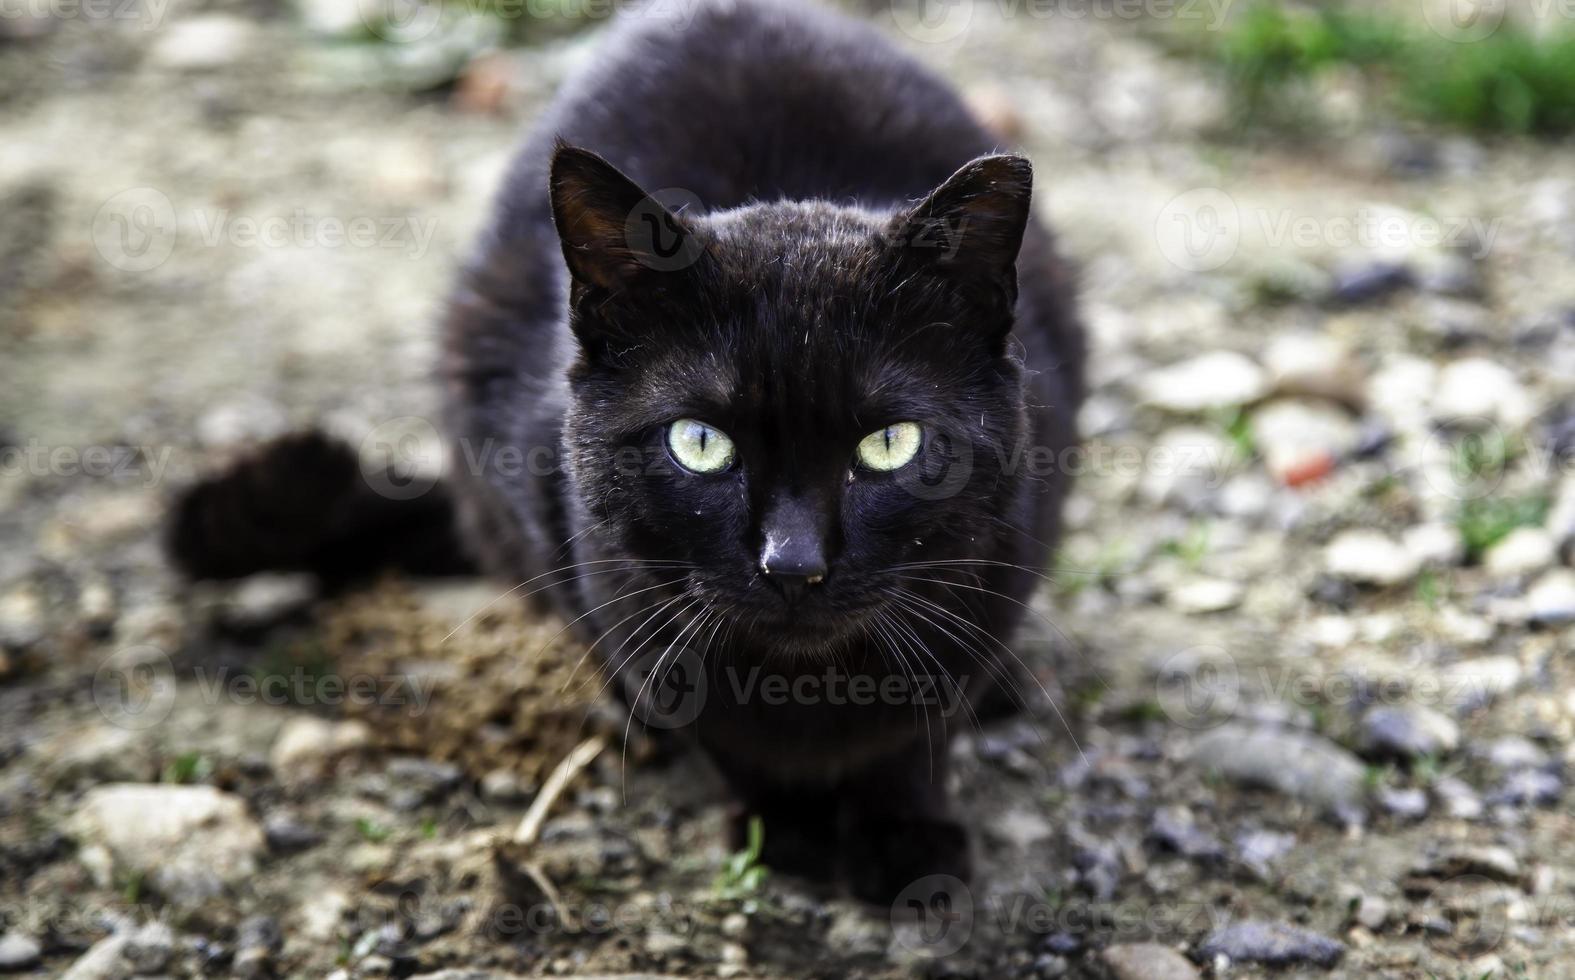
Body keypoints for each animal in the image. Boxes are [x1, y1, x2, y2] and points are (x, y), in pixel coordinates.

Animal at [172, 0, 1083, 907]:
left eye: (890, 445)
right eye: (700, 444)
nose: (793, 564)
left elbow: (914, 736)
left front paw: (907, 839)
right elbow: (722, 734)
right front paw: (786, 830)